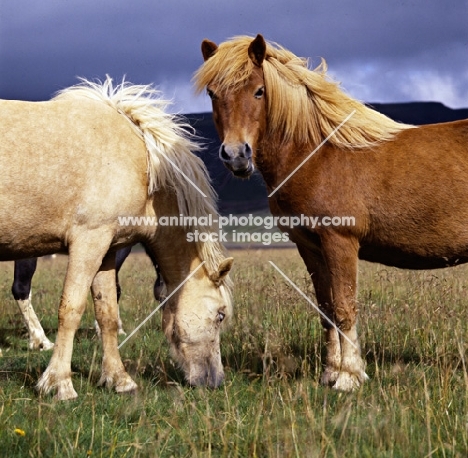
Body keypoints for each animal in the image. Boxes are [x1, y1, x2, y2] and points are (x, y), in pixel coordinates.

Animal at [196, 35, 468, 390]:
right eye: (212, 94)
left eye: (258, 91)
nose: (236, 155)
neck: (318, 153)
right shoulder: (310, 246)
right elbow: (326, 309)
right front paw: (331, 372)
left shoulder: (340, 241)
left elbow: (344, 307)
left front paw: (349, 377)